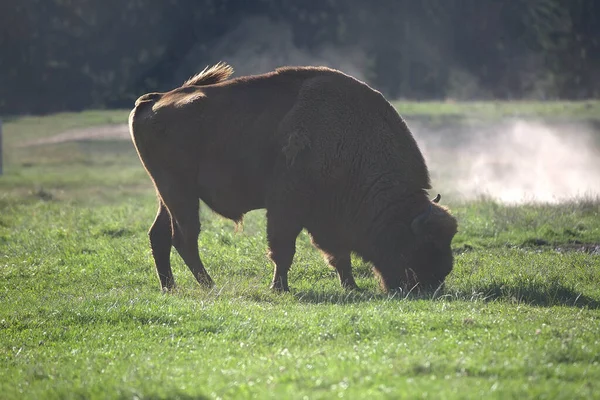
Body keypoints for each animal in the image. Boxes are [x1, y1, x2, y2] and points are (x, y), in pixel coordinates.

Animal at [129, 63, 458, 294]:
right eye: (421, 245)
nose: (431, 285)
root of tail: (153, 100)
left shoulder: (325, 218)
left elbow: (338, 255)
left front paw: (351, 287)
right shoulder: (287, 206)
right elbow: (284, 249)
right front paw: (280, 288)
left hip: (165, 195)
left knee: (159, 235)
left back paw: (170, 287)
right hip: (180, 193)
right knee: (185, 238)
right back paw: (209, 285)